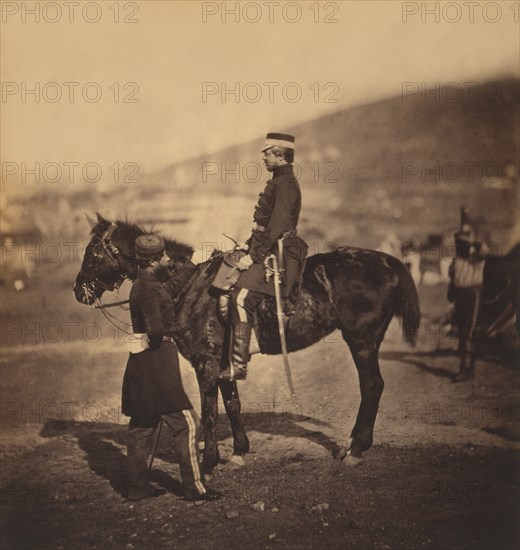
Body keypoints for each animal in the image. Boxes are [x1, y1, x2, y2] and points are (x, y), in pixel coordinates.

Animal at [73, 216, 420, 474]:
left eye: (92, 251)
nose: (79, 291)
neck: (190, 287)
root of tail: (387, 261)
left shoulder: (206, 364)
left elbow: (209, 412)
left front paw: (207, 462)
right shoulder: (224, 363)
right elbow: (233, 404)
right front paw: (239, 453)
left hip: (362, 340)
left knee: (372, 386)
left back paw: (356, 449)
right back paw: (350, 446)